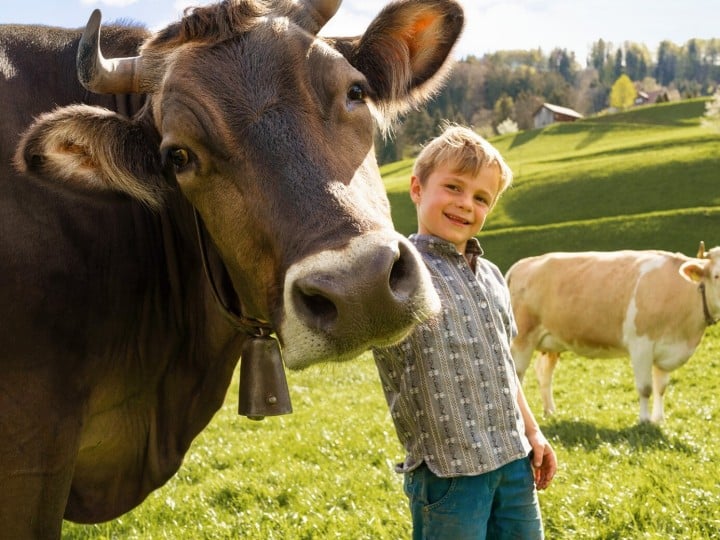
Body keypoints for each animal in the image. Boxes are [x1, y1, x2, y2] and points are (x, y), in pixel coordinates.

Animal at [506, 243, 719, 424]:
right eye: (717, 276)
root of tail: (522, 264)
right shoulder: (641, 345)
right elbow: (645, 388)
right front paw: (644, 421)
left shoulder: (667, 349)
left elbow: (661, 387)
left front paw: (659, 419)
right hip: (523, 338)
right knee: (518, 373)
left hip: (551, 341)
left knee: (544, 373)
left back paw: (550, 411)